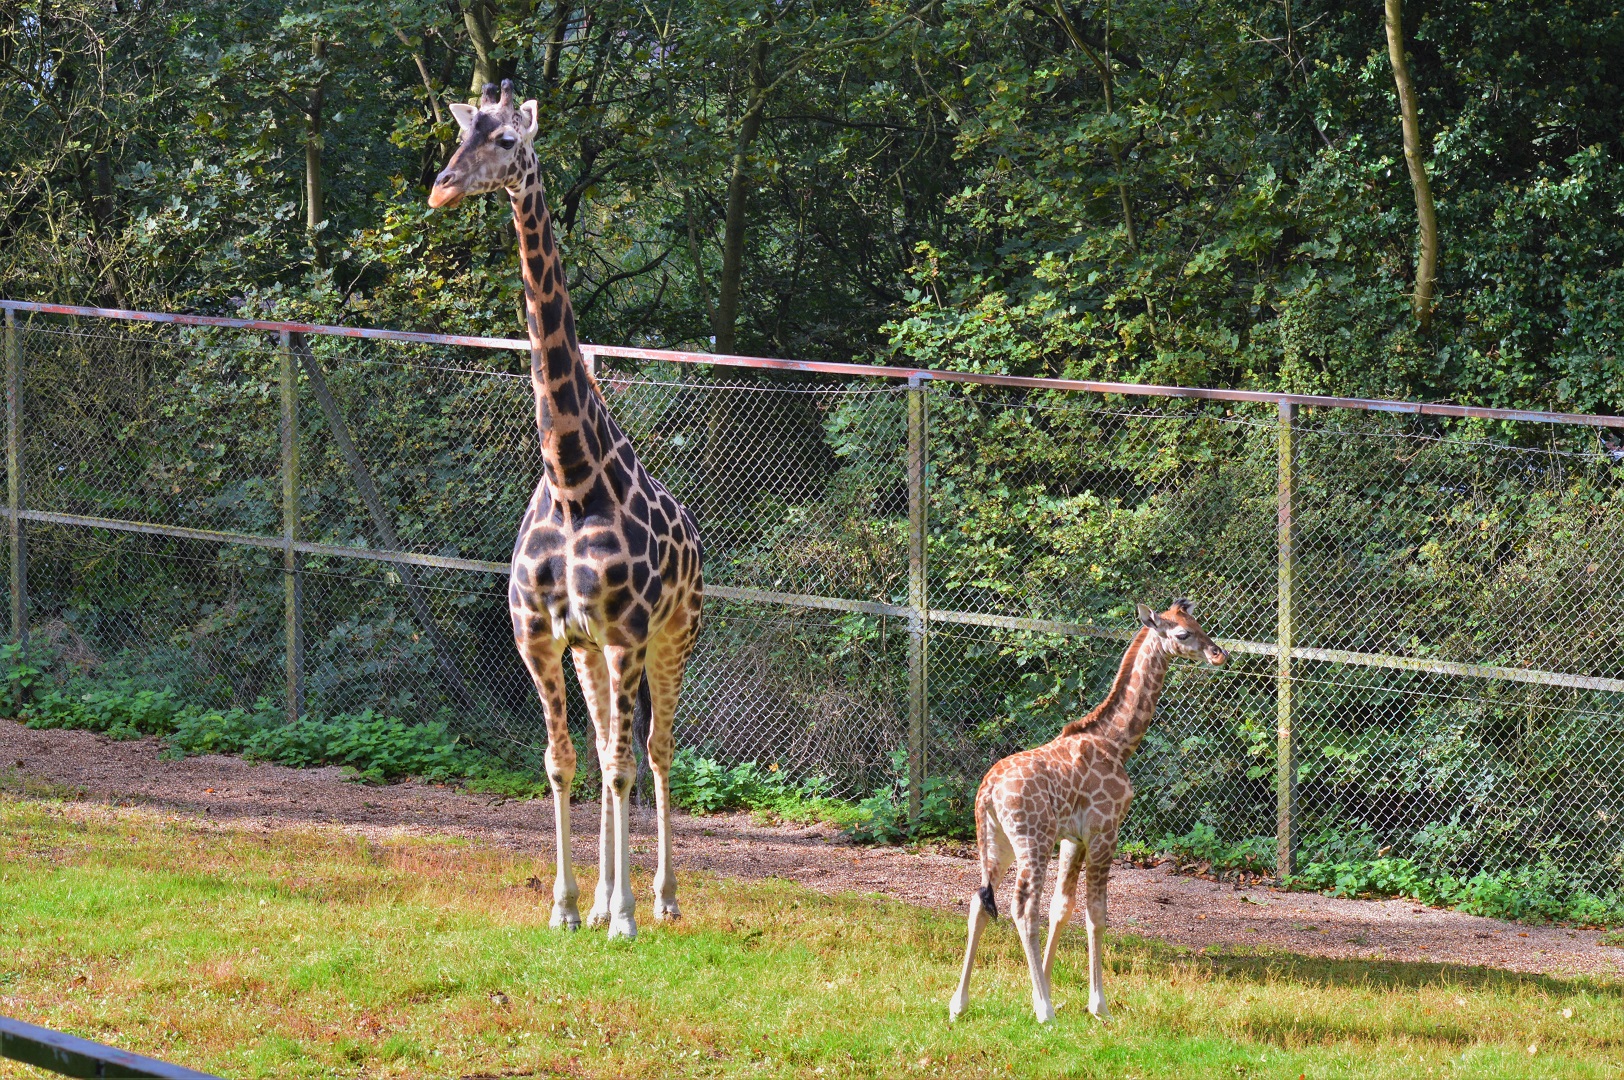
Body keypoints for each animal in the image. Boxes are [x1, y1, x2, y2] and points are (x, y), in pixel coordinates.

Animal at [428, 80, 704, 940]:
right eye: (460, 134)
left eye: (508, 140)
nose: (440, 188)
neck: (574, 477)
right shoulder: (541, 636)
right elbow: (563, 762)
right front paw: (568, 907)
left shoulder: (626, 632)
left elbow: (620, 764)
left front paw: (622, 918)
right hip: (592, 655)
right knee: (610, 742)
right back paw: (614, 896)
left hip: (672, 638)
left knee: (655, 751)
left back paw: (661, 899)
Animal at [949, 599, 1227, 1023]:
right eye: (1182, 634)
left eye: (1199, 624)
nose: (1218, 654)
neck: (1117, 742)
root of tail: (987, 792)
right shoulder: (1103, 831)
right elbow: (1097, 914)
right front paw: (1096, 1005)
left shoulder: (1073, 839)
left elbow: (1062, 908)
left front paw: (1045, 988)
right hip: (1033, 840)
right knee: (1022, 908)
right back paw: (1045, 1013)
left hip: (999, 843)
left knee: (980, 902)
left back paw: (960, 1004)